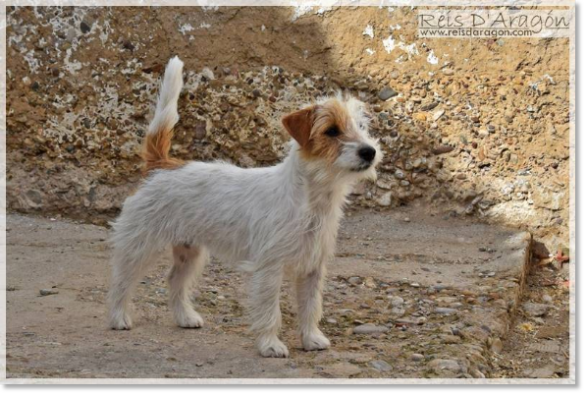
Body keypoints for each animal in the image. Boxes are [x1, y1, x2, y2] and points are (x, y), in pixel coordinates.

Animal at [108, 56, 384, 358]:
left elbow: (311, 307)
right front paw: (270, 345)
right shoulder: (269, 268)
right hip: (141, 245)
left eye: (362, 127)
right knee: (121, 280)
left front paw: (311, 339)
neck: (312, 201)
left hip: (189, 252)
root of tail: (161, 164)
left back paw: (185, 317)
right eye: (332, 130)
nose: (369, 151)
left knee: (174, 280)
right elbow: (270, 311)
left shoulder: (313, 269)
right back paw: (119, 317)